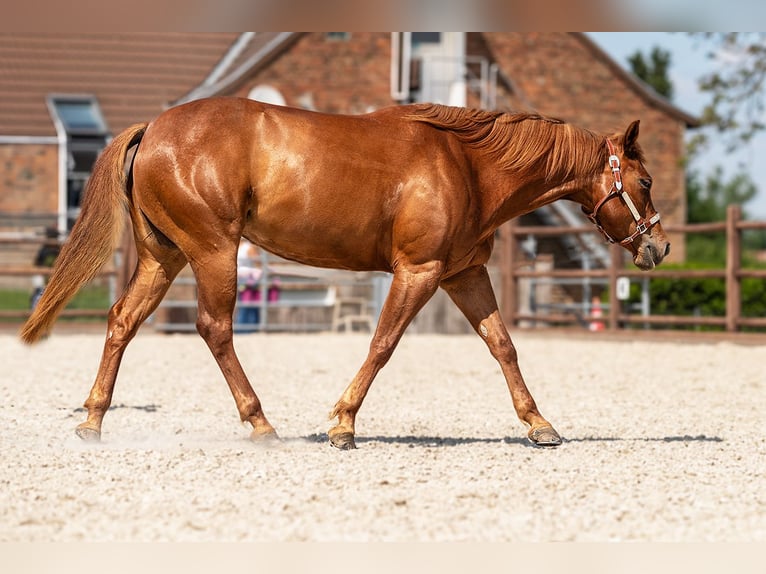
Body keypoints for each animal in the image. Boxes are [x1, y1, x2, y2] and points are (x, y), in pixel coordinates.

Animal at [18, 99, 668, 450]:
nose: (658, 247)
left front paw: (539, 425)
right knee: (215, 329)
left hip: (164, 256)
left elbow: (503, 346)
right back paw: (261, 425)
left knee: (122, 321)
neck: (469, 166)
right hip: (213, 251)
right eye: (644, 181)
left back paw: (93, 421)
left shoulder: (464, 274)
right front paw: (342, 425)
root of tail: (152, 128)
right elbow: (382, 344)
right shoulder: (419, 271)